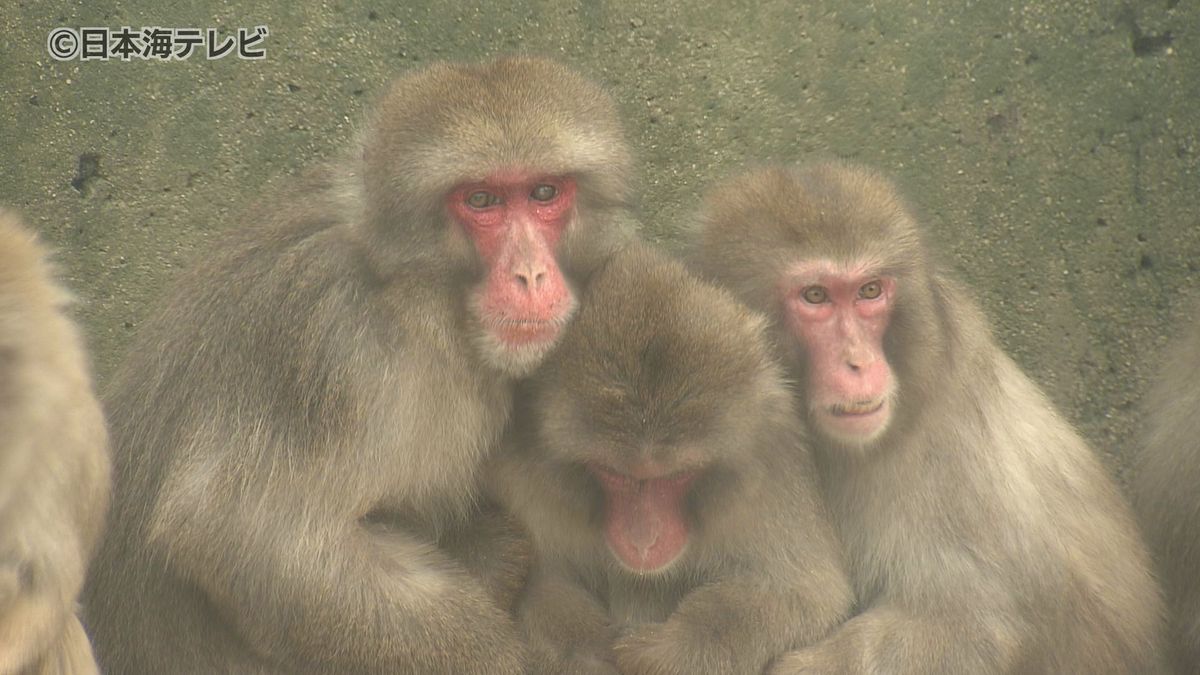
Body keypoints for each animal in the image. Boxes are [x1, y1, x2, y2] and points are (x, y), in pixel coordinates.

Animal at [81, 57, 643, 672]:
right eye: (481, 201)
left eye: (544, 192)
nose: (531, 275)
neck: (408, 289)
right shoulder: (339, 350)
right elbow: (240, 532)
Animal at [492, 242, 859, 672]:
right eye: (613, 474)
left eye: (676, 476)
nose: (644, 541)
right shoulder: (525, 479)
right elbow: (539, 580)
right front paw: (590, 651)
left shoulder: (771, 465)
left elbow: (806, 593)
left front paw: (668, 650)